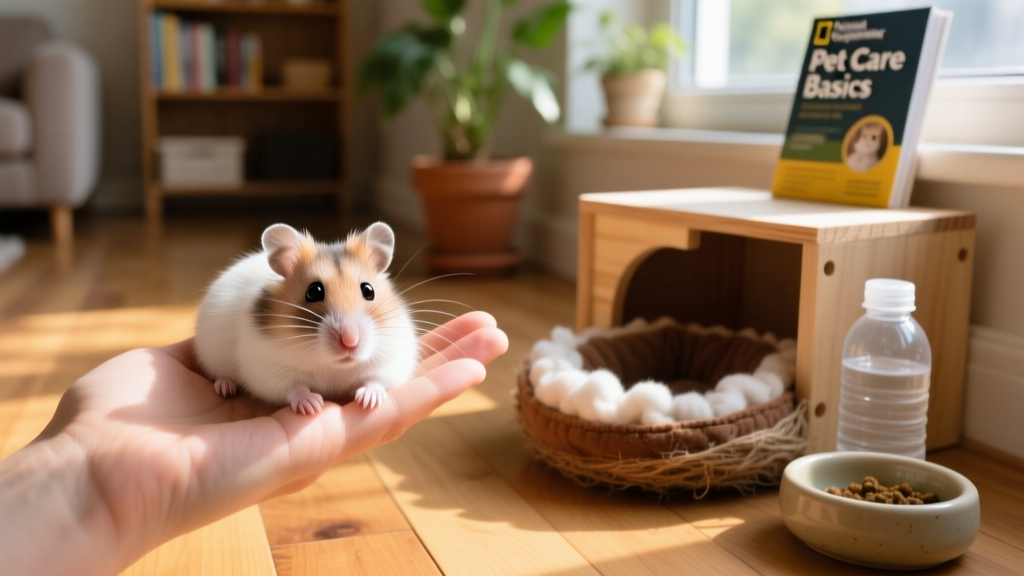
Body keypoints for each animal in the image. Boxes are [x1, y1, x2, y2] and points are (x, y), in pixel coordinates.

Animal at [194, 222, 418, 415]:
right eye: (314, 291)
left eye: (368, 290)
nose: (350, 341)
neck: (333, 365)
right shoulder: (268, 370)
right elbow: (294, 387)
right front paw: (313, 405)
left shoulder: (392, 361)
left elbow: (377, 381)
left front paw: (368, 401)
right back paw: (226, 387)